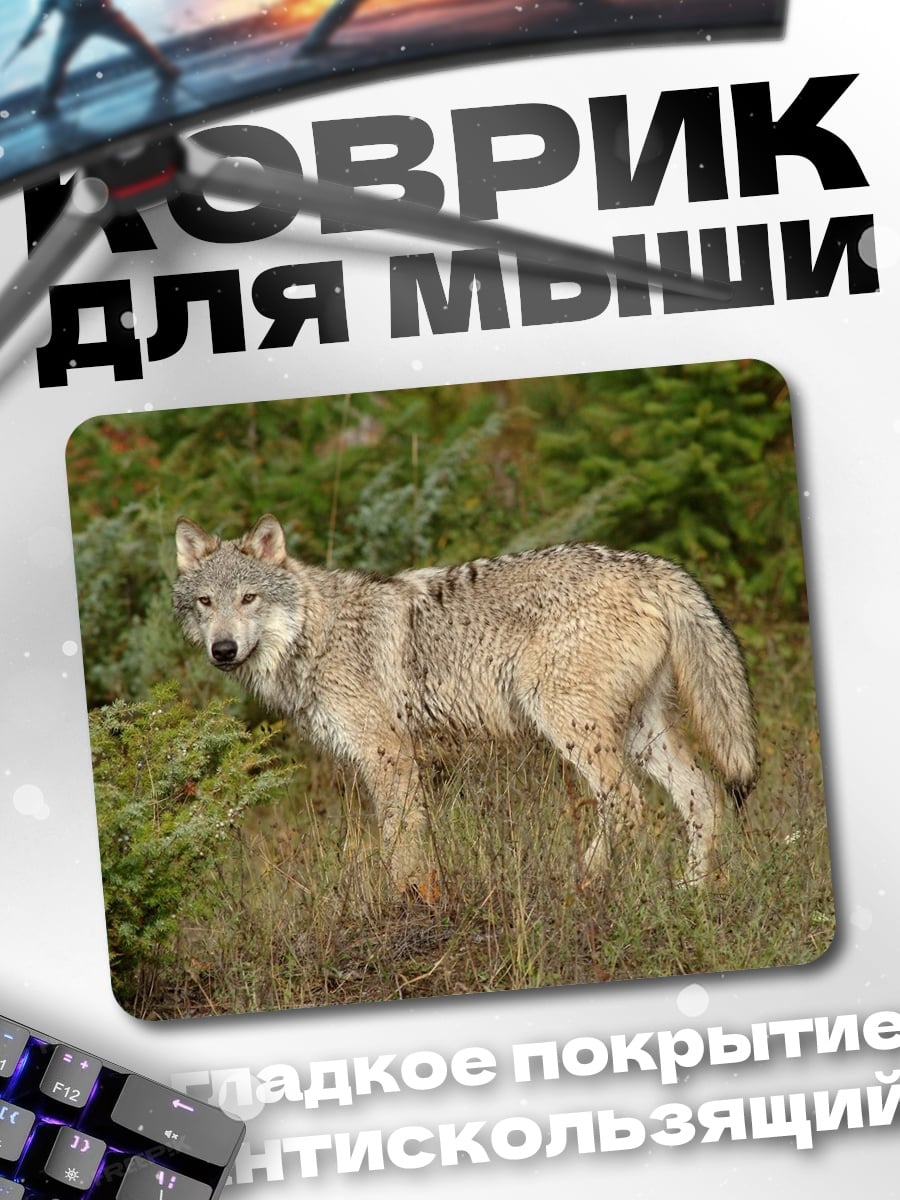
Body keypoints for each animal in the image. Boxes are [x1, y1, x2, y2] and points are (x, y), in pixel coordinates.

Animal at [173, 514, 758, 891]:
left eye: (249, 598)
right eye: (206, 603)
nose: (222, 650)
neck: (317, 633)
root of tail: (650, 564)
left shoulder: (389, 756)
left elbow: (399, 848)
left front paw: (408, 905)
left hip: (571, 726)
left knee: (628, 804)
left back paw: (586, 882)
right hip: (640, 734)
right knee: (703, 796)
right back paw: (691, 893)